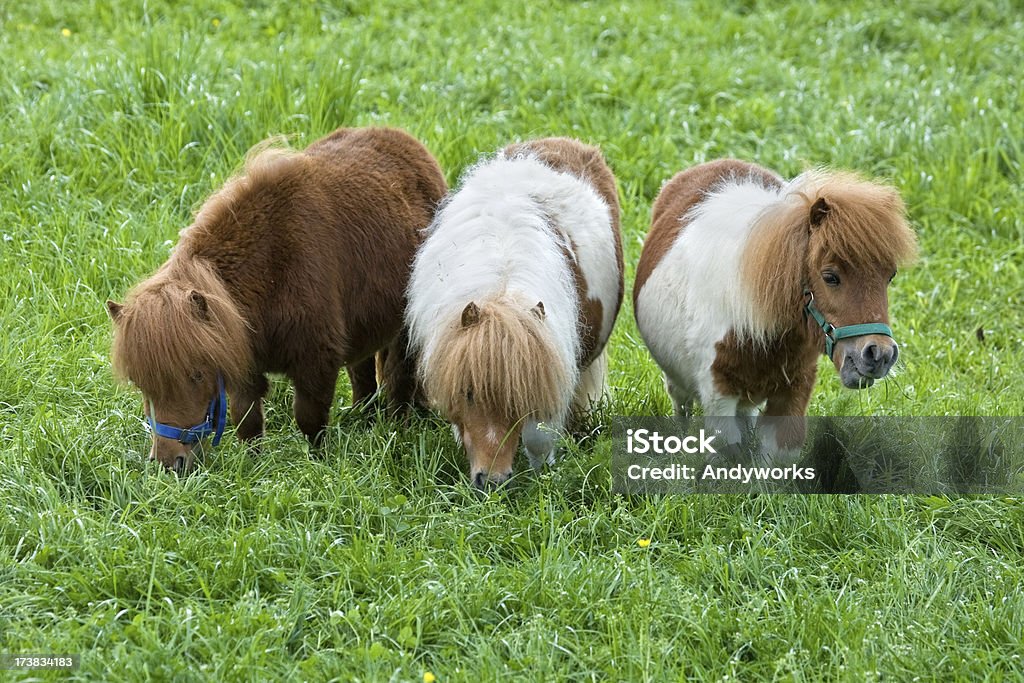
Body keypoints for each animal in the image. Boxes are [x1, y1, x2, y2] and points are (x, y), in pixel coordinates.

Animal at [105, 125, 446, 473]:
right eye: (139, 383)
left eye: (196, 374)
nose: (168, 463)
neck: (270, 269)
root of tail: (405, 142)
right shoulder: (243, 364)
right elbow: (247, 421)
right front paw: (253, 468)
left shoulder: (315, 362)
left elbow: (310, 420)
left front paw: (318, 465)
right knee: (363, 375)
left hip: (405, 329)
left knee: (398, 377)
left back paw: (397, 429)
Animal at [407, 139, 622, 489]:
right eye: (469, 393)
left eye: (519, 399)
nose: (492, 480)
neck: (502, 285)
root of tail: (565, 143)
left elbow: (538, 435)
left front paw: (544, 475)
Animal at [634, 158, 917, 462]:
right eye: (830, 277)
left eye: (890, 276)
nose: (879, 354)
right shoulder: (718, 393)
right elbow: (725, 451)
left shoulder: (794, 390)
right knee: (682, 402)